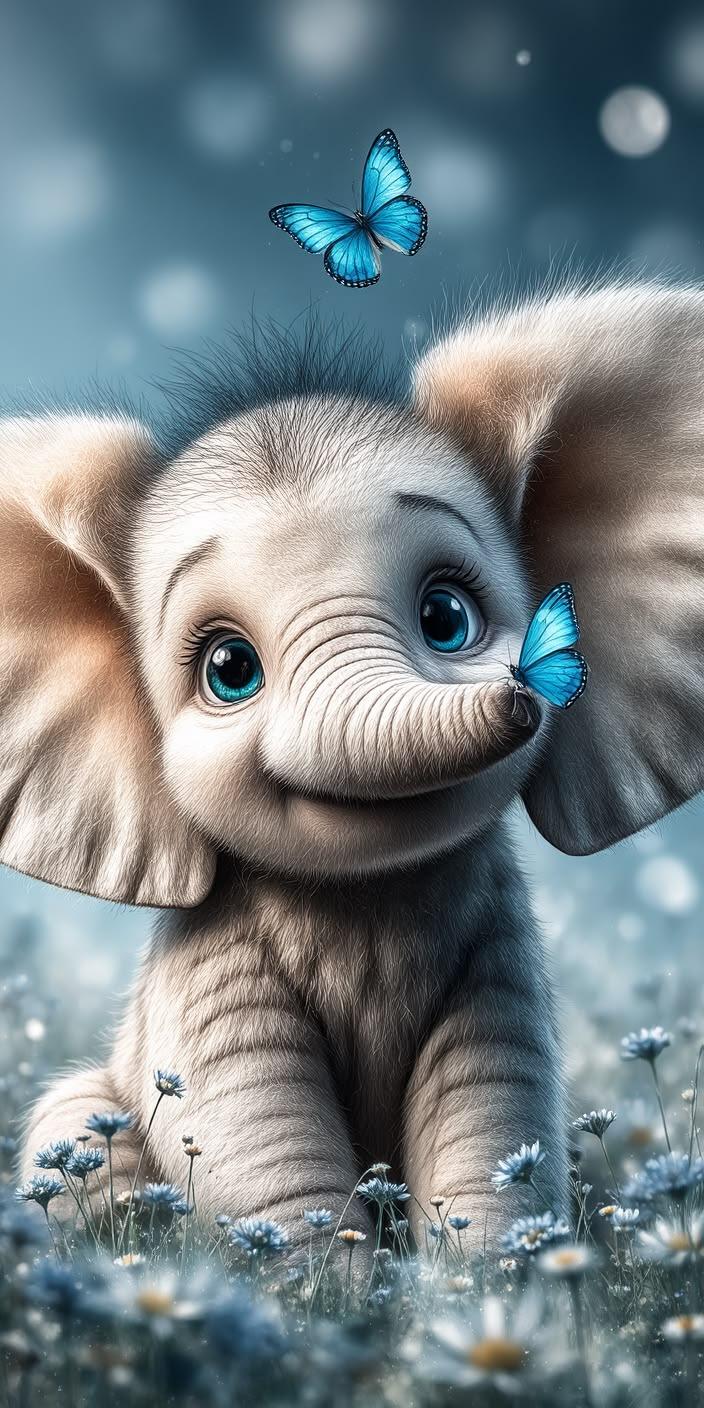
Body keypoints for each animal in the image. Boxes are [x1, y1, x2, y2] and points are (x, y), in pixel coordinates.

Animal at [11, 282, 704, 1255]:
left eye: (447, 616)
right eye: (229, 669)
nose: (523, 692)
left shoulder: (496, 952)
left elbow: (489, 1122)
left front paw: (482, 1277)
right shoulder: (214, 970)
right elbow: (262, 1144)